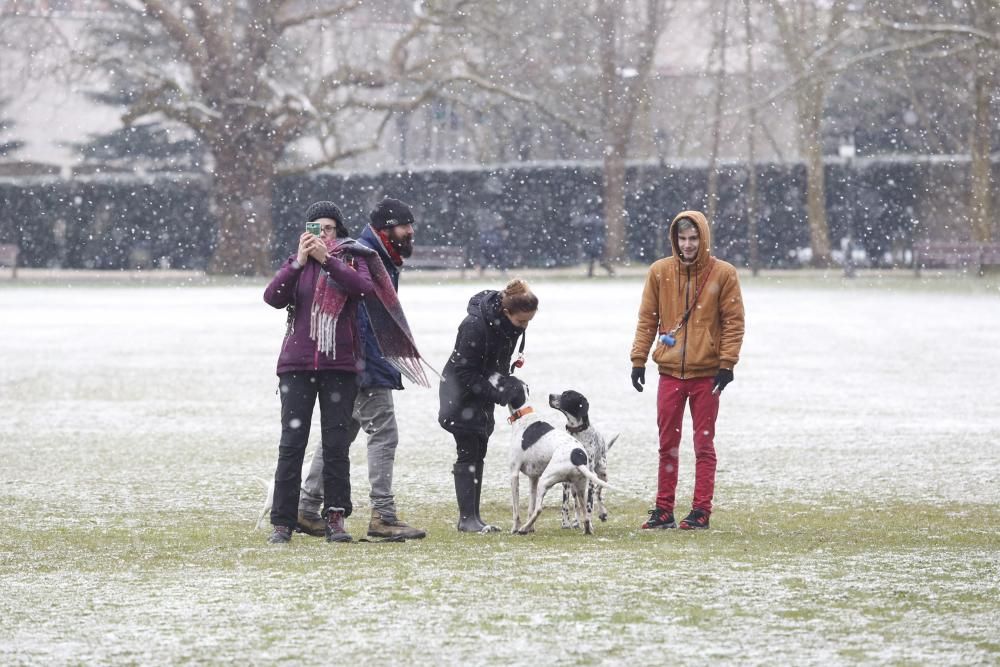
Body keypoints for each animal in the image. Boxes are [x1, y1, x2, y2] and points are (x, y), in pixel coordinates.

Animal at [500, 376, 608, 536]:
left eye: (506, 380)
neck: (523, 416)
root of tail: (577, 455)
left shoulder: (514, 474)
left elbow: (517, 509)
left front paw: (515, 527)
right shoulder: (533, 478)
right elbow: (530, 507)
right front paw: (531, 528)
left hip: (547, 480)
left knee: (540, 509)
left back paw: (522, 529)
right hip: (578, 488)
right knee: (585, 513)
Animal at [548, 388, 616, 528]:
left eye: (567, 395)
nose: (550, 395)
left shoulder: (590, 479)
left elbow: (589, 504)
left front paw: (589, 523)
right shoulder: (566, 482)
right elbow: (566, 504)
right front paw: (565, 523)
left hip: (602, 474)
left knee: (598, 492)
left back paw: (602, 513)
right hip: (575, 485)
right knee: (577, 503)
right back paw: (576, 521)